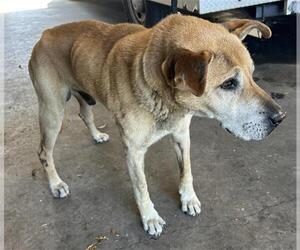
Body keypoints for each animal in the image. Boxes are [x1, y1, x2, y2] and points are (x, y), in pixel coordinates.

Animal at [28, 14, 286, 237]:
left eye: (252, 75)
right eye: (229, 83)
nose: (280, 118)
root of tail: (45, 33)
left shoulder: (182, 134)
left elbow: (186, 171)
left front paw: (188, 198)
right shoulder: (133, 152)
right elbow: (141, 187)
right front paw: (150, 217)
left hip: (82, 94)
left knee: (84, 114)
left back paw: (96, 135)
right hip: (52, 112)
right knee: (43, 152)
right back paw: (56, 184)